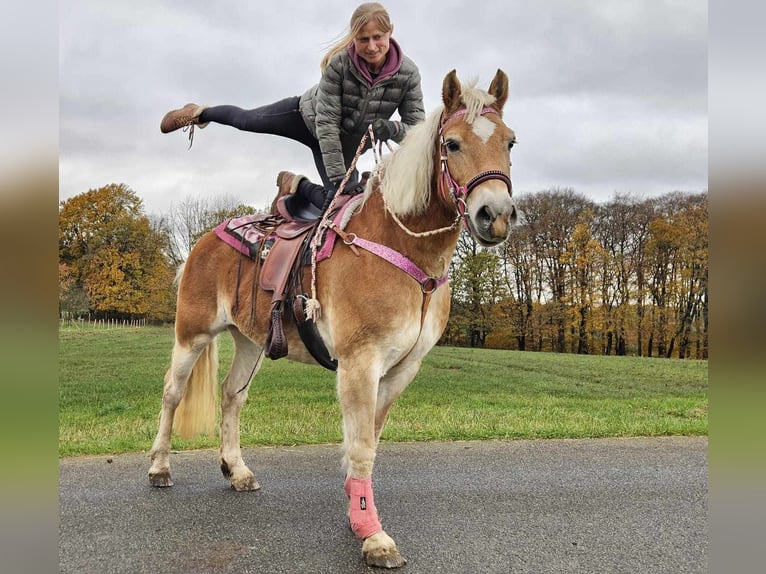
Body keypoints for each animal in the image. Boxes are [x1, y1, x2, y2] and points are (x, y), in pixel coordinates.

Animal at [148, 70, 520, 568]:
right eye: (453, 144)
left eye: (510, 142)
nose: (495, 215)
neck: (401, 248)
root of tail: (206, 239)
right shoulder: (360, 363)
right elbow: (360, 446)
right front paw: (372, 533)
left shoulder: (401, 370)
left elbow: (369, 441)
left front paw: (357, 511)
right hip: (192, 333)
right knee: (172, 393)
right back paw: (159, 466)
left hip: (250, 342)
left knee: (231, 396)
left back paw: (237, 469)